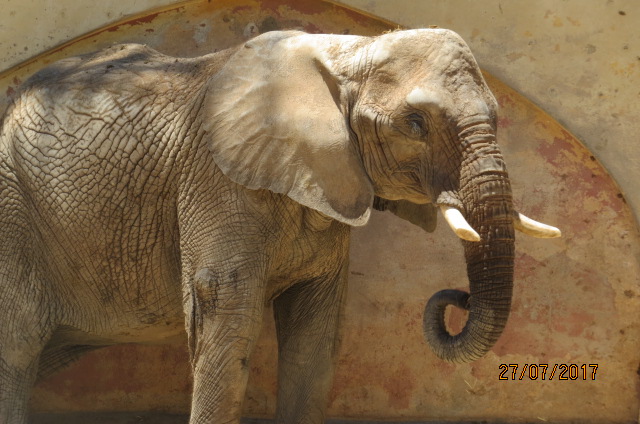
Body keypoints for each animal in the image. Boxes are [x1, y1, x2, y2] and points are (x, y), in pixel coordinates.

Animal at [0, 29, 559, 423]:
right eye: (416, 124)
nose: (456, 298)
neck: (348, 53)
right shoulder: (214, 179)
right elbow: (226, 319)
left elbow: (314, 335)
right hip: (13, 211)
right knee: (17, 349)